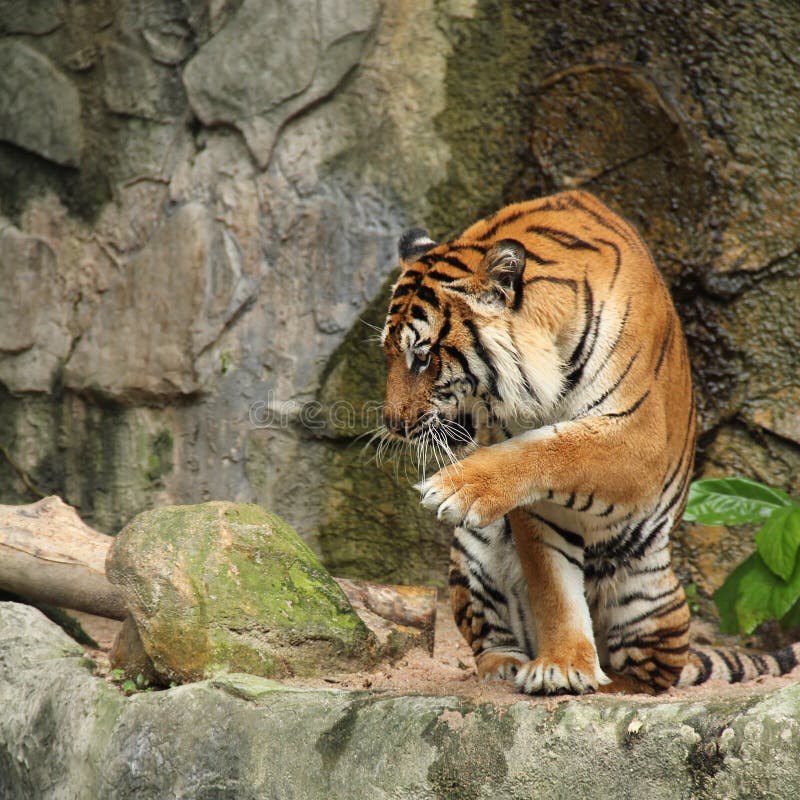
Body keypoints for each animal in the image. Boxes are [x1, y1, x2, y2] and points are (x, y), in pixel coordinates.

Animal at [380, 189, 800, 692]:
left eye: (422, 358)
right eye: (388, 354)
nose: (392, 423)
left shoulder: (639, 439)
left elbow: (554, 448)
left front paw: (456, 486)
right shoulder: (535, 512)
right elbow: (553, 586)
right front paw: (562, 664)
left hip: (649, 596)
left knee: (655, 674)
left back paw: (616, 682)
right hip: (473, 551)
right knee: (491, 639)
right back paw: (505, 668)